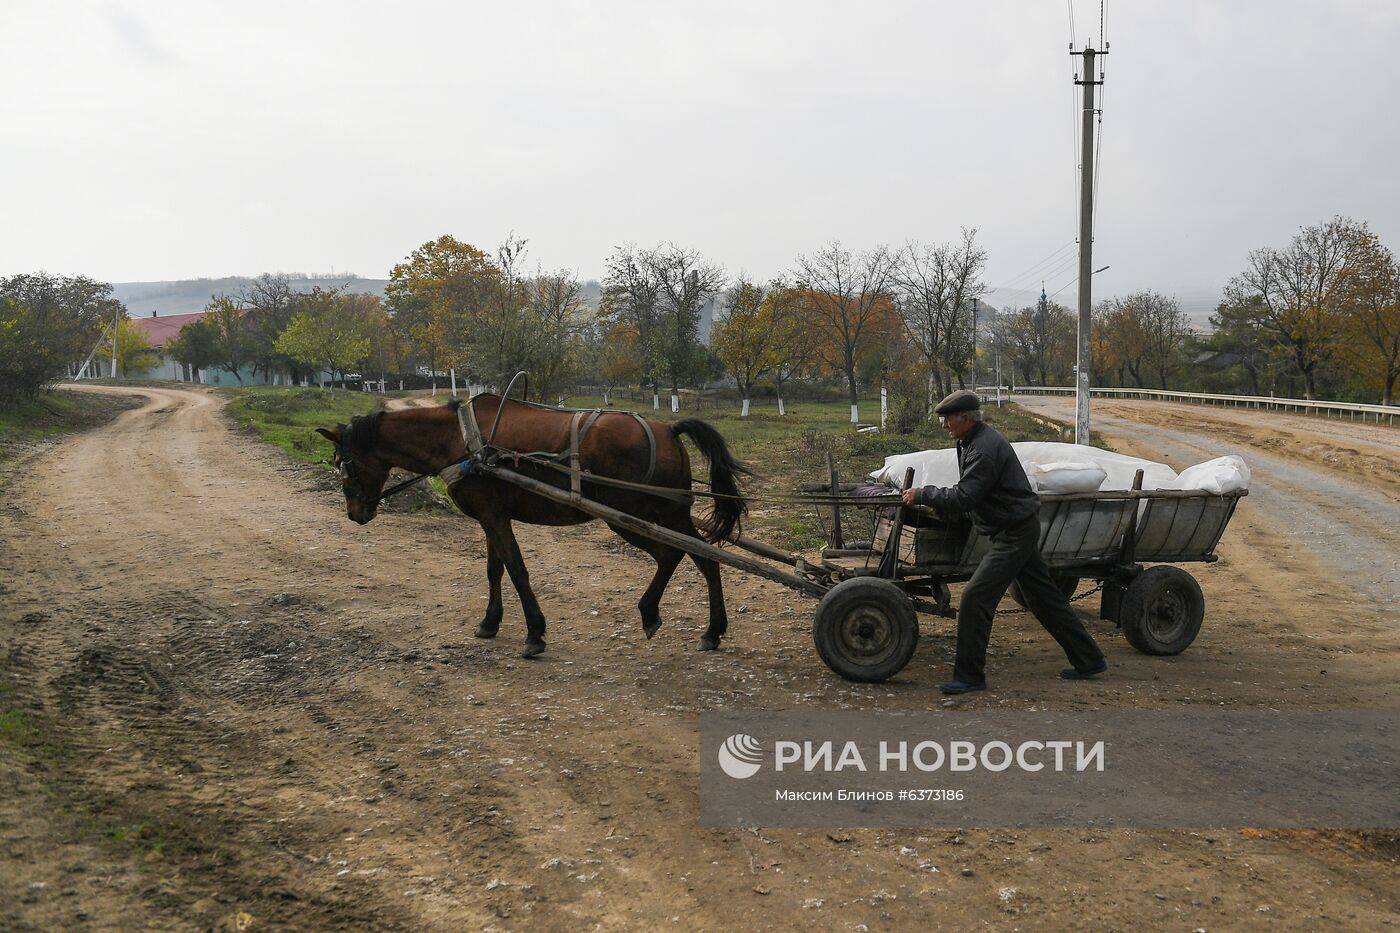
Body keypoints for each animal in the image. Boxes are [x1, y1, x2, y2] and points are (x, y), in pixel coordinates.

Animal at [317, 392, 756, 652]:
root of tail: (669, 427)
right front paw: (490, 622)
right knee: (691, 558)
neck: (459, 441)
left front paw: (534, 632)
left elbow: (516, 569)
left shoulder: (493, 516)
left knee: (685, 557)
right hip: (655, 515)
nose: (355, 513)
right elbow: (494, 570)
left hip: (641, 515)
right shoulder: (491, 516)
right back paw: (694, 625)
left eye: (344, 462)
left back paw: (678, 620)